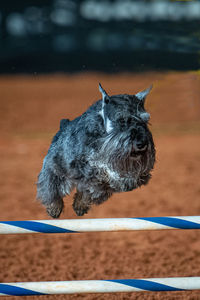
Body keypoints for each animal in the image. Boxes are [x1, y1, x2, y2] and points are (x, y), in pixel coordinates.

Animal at [37, 83, 156, 217]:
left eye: (145, 121)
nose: (141, 143)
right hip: (54, 167)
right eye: (121, 120)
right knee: (50, 187)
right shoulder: (86, 166)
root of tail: (63, 125)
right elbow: (101, 172)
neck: (103, 137)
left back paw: (80, 205)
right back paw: (54, 207)